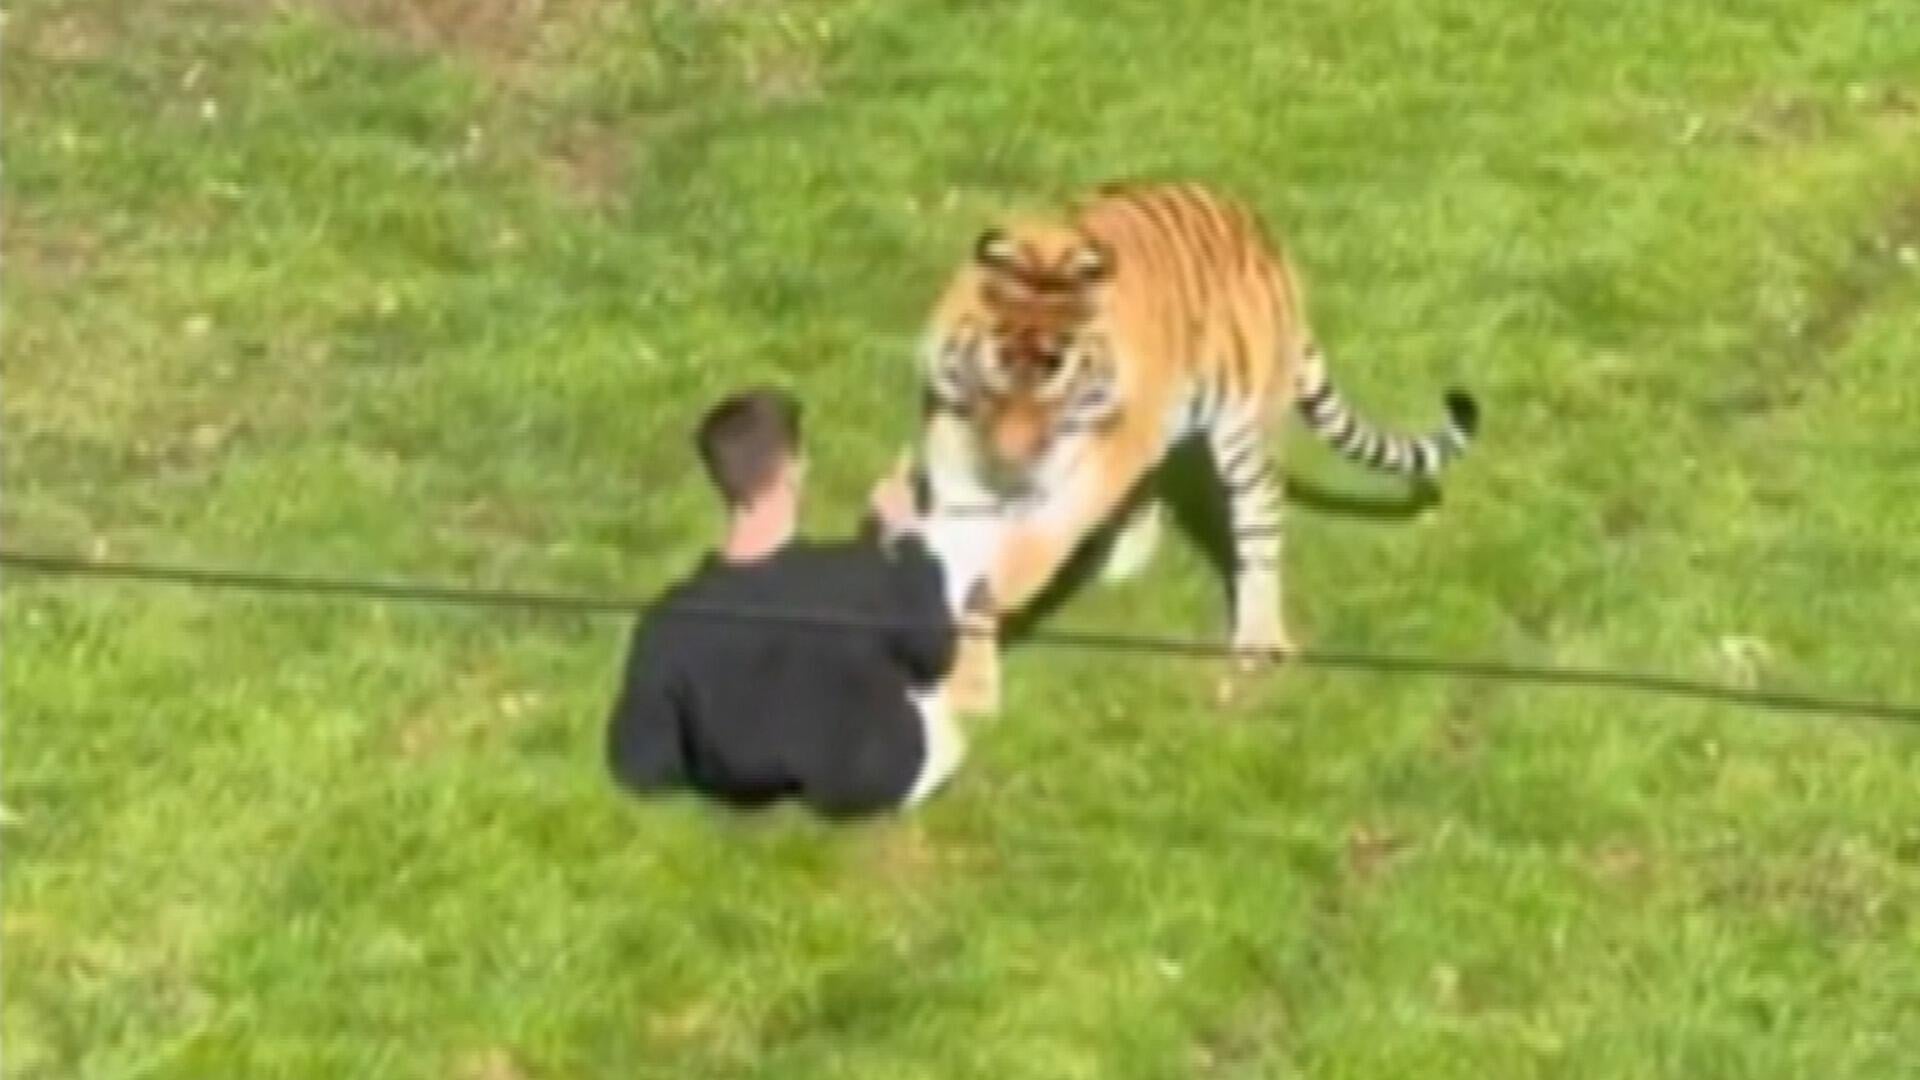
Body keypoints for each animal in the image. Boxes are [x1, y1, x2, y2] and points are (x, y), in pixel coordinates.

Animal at [916, 181, 1480, 715]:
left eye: (1058, 378)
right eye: (999, 377)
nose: (1015, 453)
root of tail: (1259, 231)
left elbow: (1022, 553)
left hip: (1243, 434)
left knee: (1259, 529)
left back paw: (1257, 642)